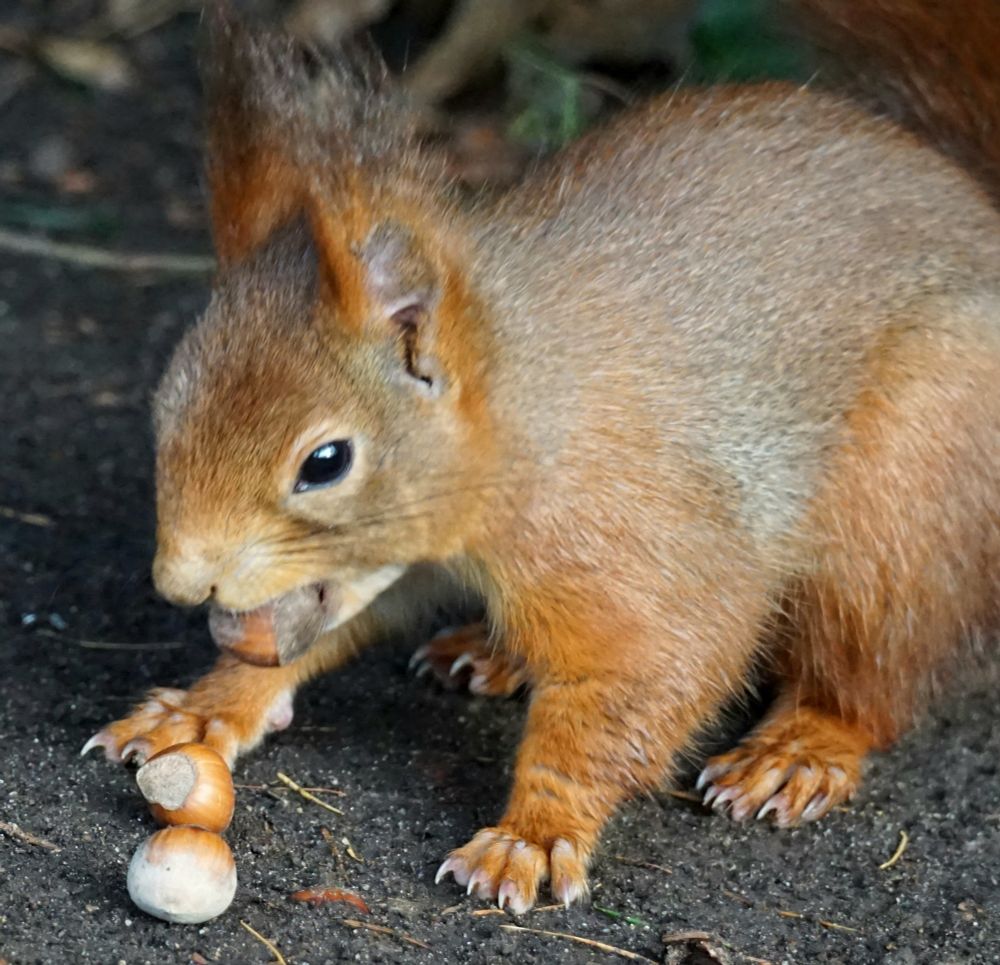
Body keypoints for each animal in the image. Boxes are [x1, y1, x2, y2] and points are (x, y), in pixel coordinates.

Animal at [83, 0, 1000, 914]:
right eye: (168, 404)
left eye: (326, 461)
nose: (180, 582)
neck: (522, 427)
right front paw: (203, 710)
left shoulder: (641, 545)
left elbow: (645, 681)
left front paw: (530, 834)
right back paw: (492, 652)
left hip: (903, 488)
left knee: (872, 667)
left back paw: (802, 746)